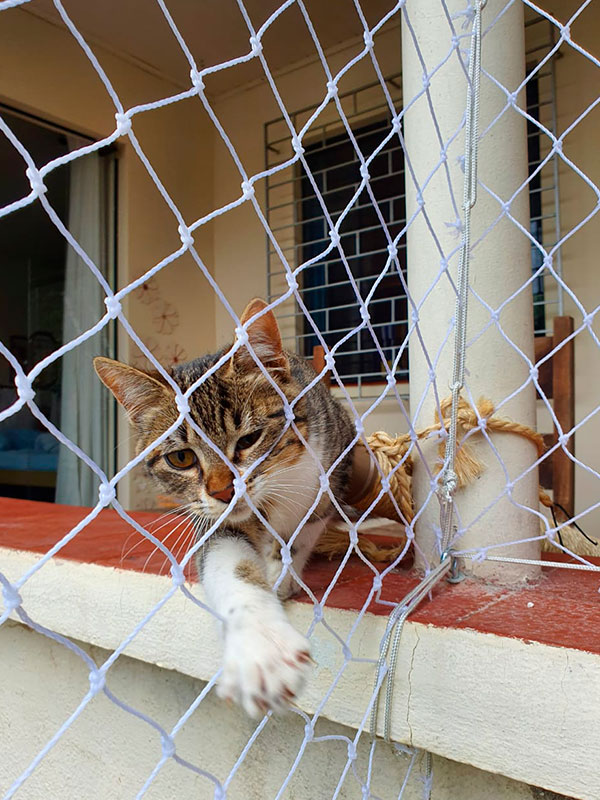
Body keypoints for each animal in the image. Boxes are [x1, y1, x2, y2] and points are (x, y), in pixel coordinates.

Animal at [95, 296, 356, 716]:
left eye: (249, 439)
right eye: (181, 458)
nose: (222, 492)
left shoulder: (334, 460)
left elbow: (307, 527)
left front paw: (285, 570)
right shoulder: (214, 521)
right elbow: (228, 561)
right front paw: (263, 649)